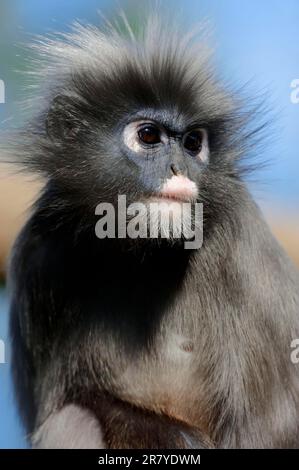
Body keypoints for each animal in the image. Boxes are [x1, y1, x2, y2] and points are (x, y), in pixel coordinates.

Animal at [4, 14, 299, 448]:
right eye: (148, 136)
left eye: (193, 143)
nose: (179, 168)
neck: (139, 252)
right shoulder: (39, 254)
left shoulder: (240, 235)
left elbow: (268, 431)